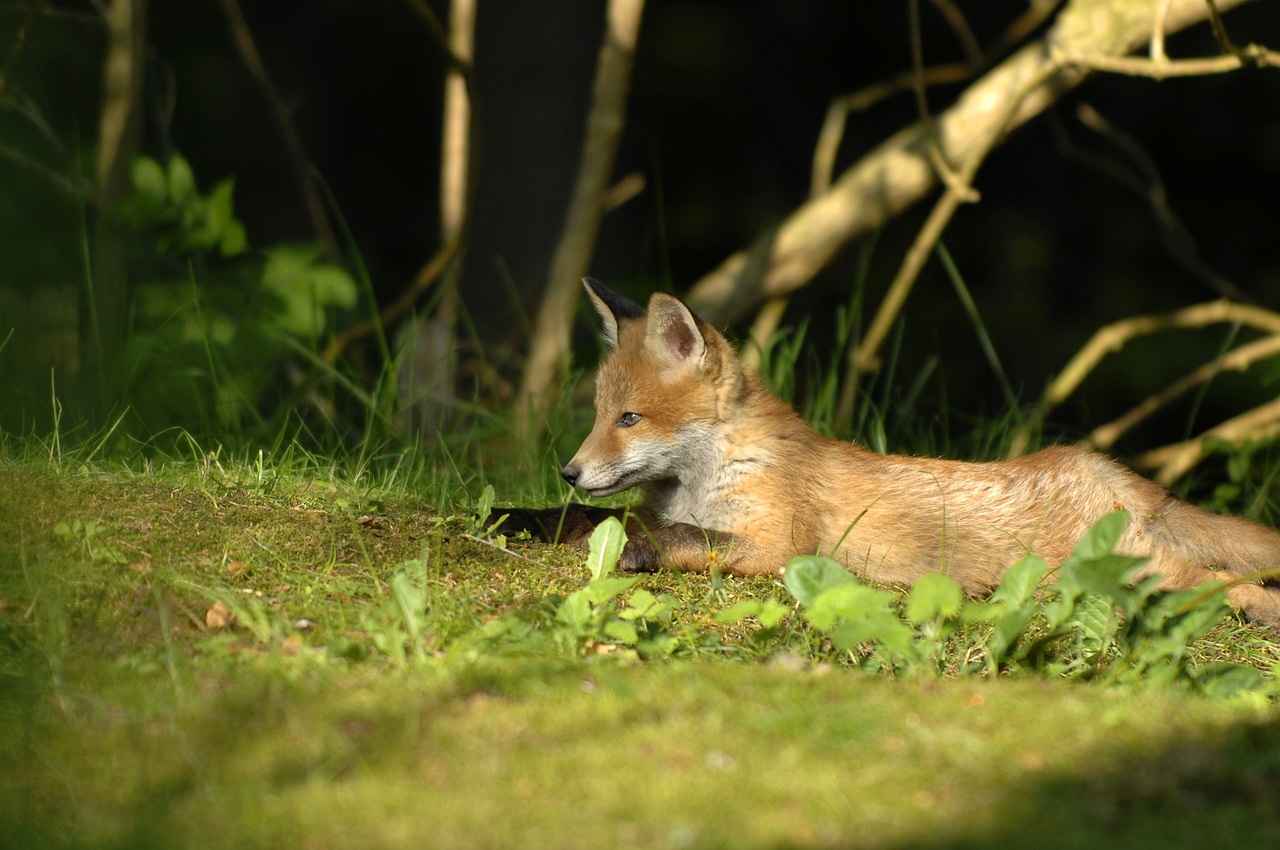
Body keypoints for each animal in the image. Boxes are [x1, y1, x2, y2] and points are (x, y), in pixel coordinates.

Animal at [496, 277, 1280, 624]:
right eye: (600, 415)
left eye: (629, 418)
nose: (570, 468)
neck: (702, 477)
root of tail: (1099, 467)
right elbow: (590, 518)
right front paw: (524, 517)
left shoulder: (779, 546)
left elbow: (670, 535)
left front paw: (634, 547)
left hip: (1126, 569)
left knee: (1226, 579)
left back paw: (1257, 611)